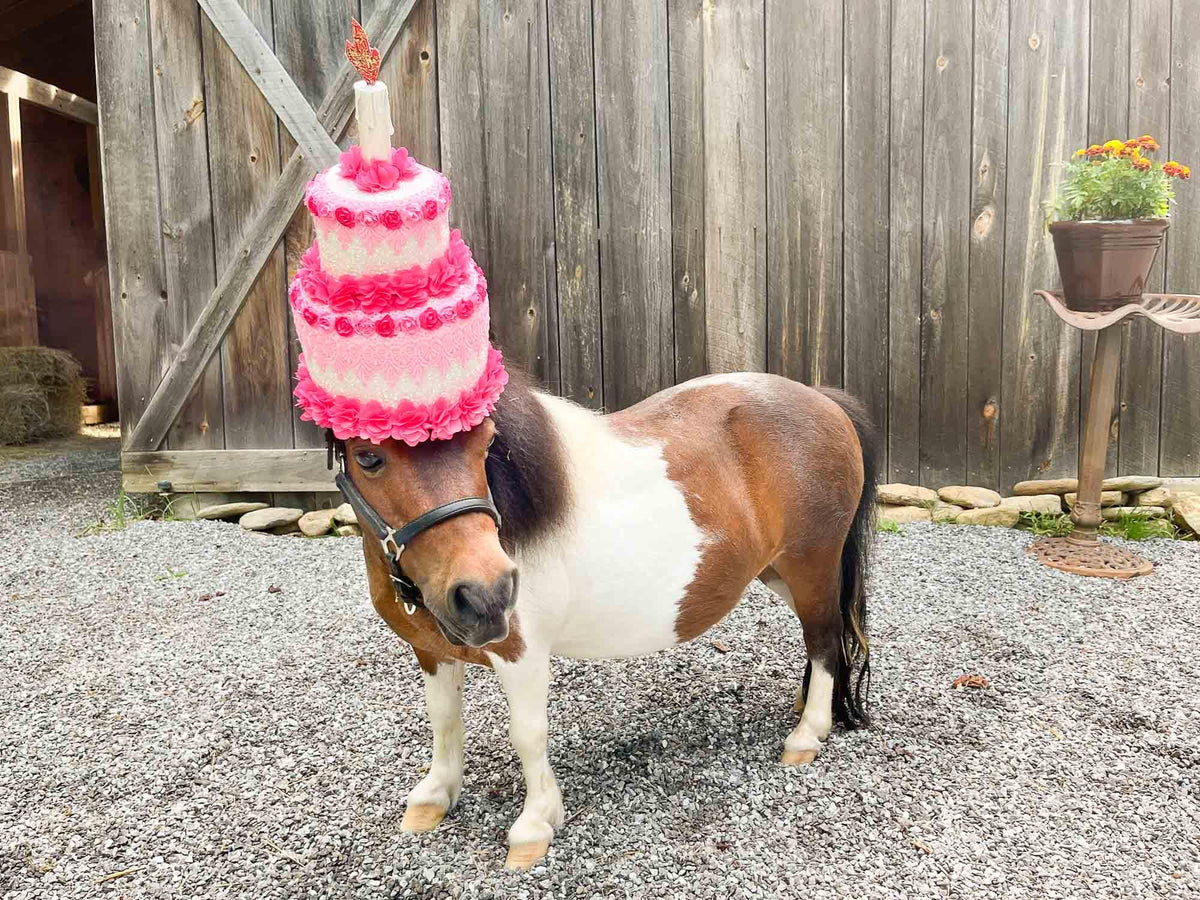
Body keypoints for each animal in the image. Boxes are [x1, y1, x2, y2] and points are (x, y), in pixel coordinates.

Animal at [333, 366, 877, 869]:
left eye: (486, 443)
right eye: (368, 457)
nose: (487, 595)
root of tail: (822, 400)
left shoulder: (522, 654)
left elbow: (527, 733)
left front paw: (536, 824)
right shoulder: (432, 651)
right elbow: (443, 718)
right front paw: (435, 796)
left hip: (811, 565)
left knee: (825, 639)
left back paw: (806, 736)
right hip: (777, 572)